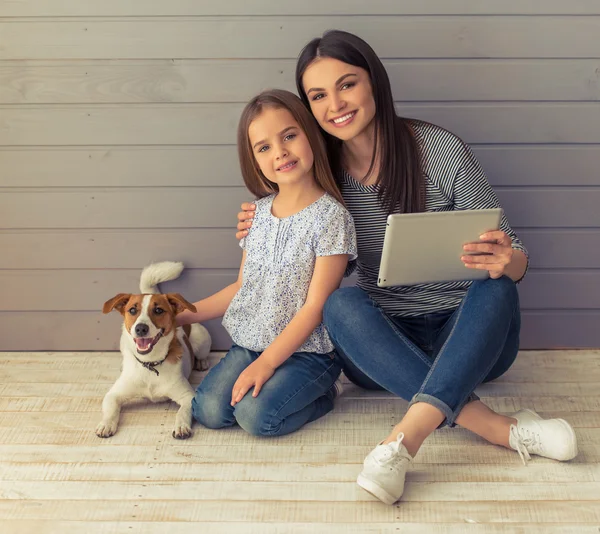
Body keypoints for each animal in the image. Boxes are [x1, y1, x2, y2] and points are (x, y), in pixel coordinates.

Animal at [96, 262, 211, 442]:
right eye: (132, 310)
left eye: (158, 310)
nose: (141, 328)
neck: (150, 363)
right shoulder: (113, 394)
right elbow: (111, 409)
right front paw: (106, 424)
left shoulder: (187, 396)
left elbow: (183, 412)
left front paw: (181, 426)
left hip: (202, 338)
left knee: (202, 353)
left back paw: (202, 362)